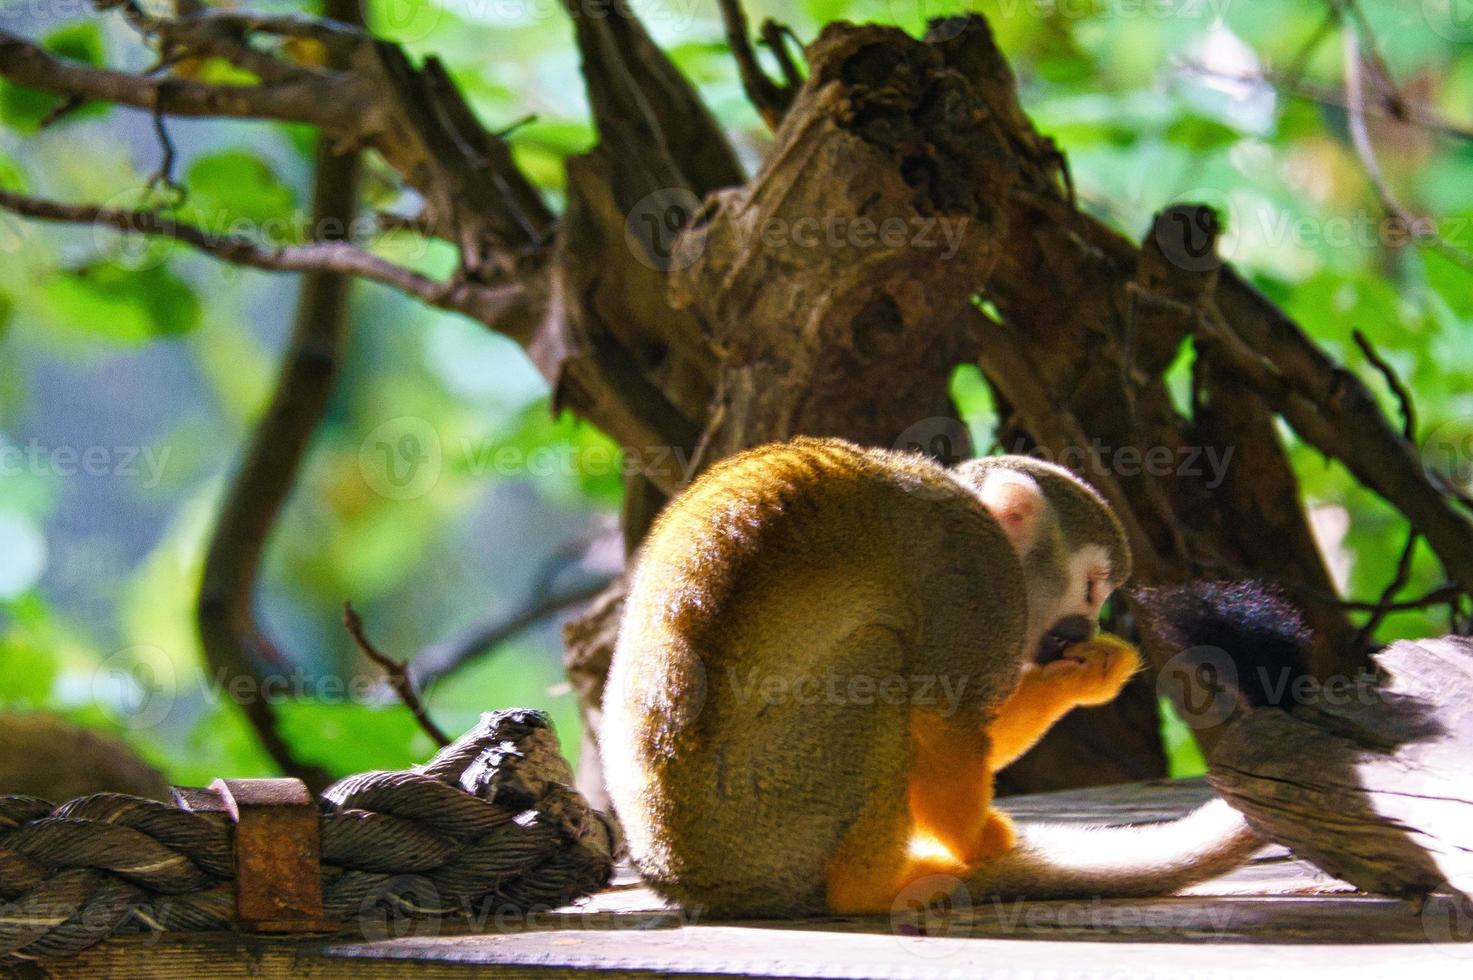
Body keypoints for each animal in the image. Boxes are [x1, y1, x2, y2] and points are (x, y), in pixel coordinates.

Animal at [598, 436, 1254, 919]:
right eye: (1092, 588)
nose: (1081, 628)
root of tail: (688, 878)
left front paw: (1088, 673)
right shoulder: (980, 581)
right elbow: (946, 721)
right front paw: (983, 841)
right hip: (769, 813)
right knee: (877, 662)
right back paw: (873, 889)